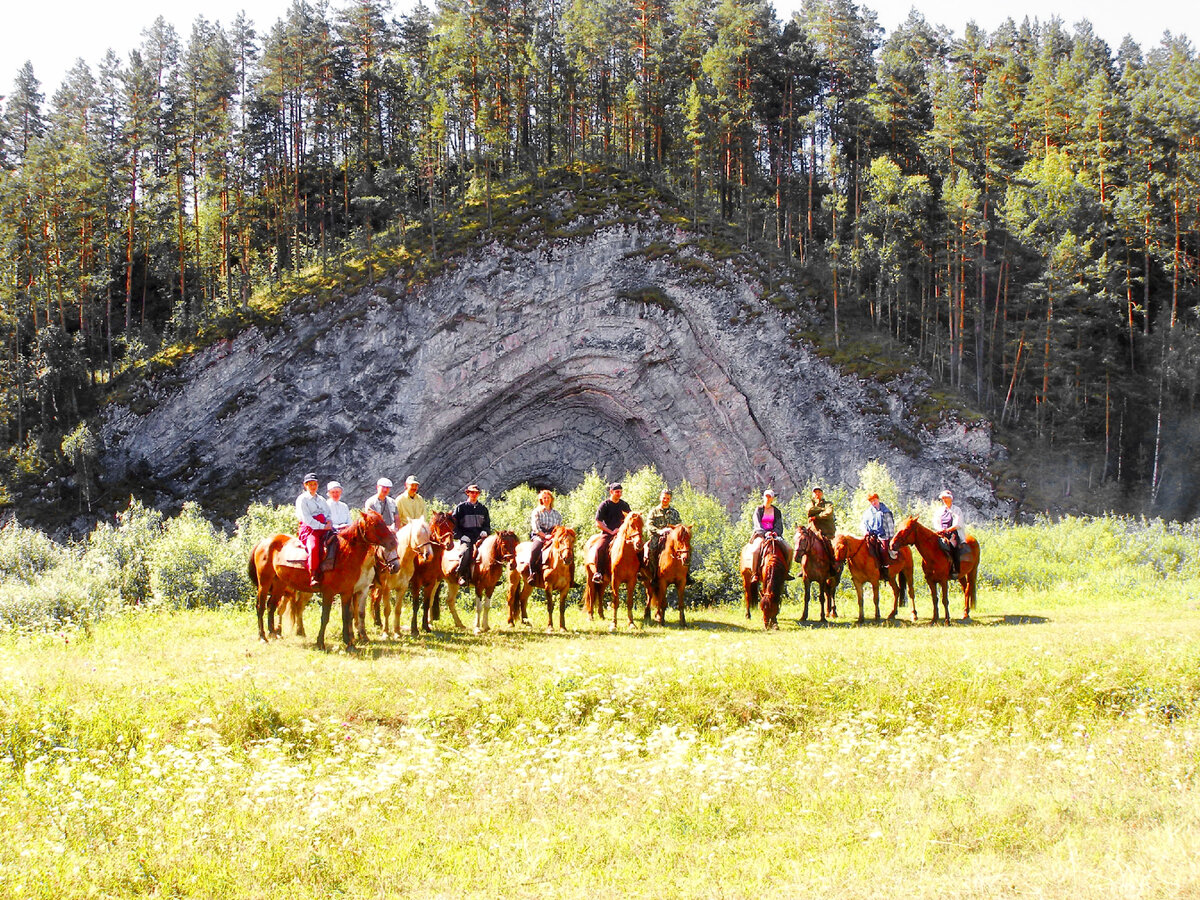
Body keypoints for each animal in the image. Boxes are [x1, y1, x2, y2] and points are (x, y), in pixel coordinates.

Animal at [248, 511, 398, 652]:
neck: (343, 554)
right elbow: (325, 617)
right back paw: (263, 637)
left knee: (271, 606)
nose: (393, 543)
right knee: (261, 607)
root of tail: (264, 542)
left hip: (279, 584)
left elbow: (346, 616)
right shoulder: (328, 593)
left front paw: (349, 643)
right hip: (264, 583)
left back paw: (273, 634)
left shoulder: (347, 592)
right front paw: (320, 643)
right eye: (375, 524)